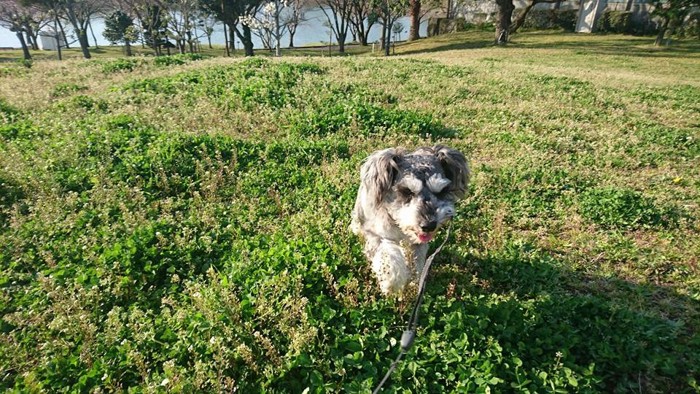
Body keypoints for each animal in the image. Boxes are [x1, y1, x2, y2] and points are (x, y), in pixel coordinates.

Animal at [350, 145, 470, 296]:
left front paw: (414, 281)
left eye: (442, 191)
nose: (429, 225)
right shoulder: (376, 235)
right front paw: (392, 283)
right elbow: (388, 255)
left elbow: (417, 262)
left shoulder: (419, 244)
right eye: (407, 191)